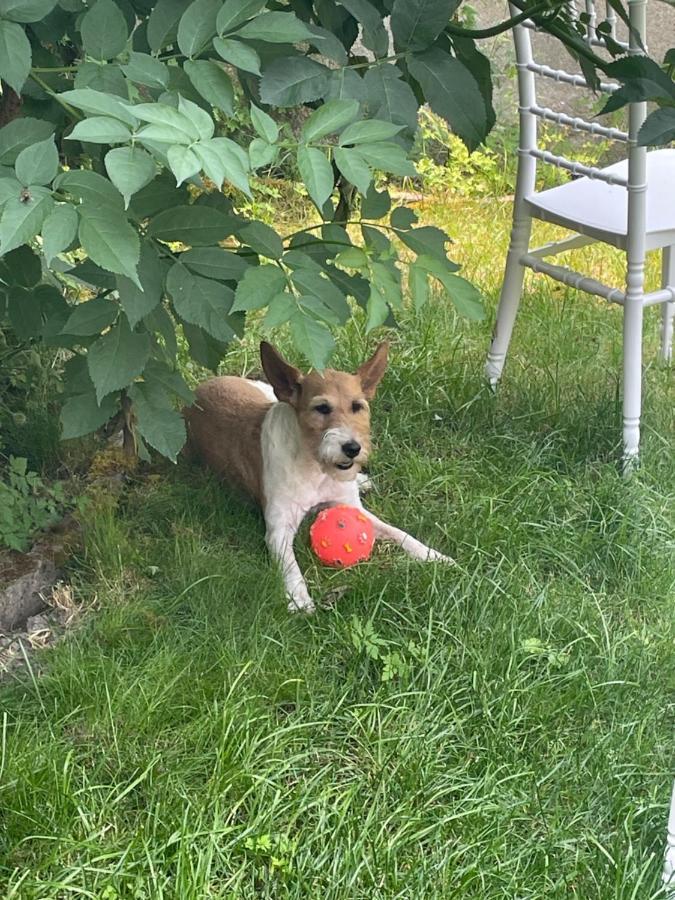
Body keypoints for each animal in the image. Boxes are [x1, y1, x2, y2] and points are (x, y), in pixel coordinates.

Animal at [184, 342, 454, 616]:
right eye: (322, 408)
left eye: (358, 406)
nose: (352, 448)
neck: (316, 468)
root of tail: (199, 389)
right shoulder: (279, 529)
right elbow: (290, 565)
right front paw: (299, 598)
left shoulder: (354, 509)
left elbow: (399, 533)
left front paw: (433, 555)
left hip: (269, 395)